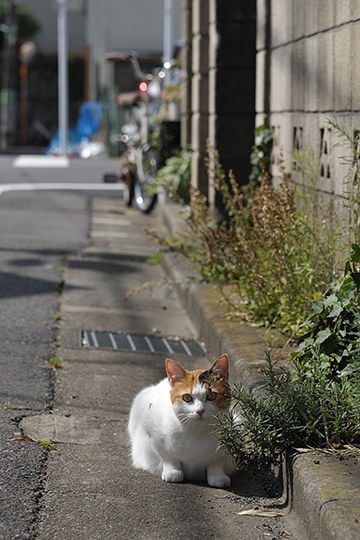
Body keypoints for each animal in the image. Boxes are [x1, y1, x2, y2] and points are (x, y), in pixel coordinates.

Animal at [128, 354, 235, 490]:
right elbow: (167, 456)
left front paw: (217, 475)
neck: (197, 433)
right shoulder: (152, 429)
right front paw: (172, 471)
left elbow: (217, 461)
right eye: (187, 397)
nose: (200, 411)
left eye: (212, 396)